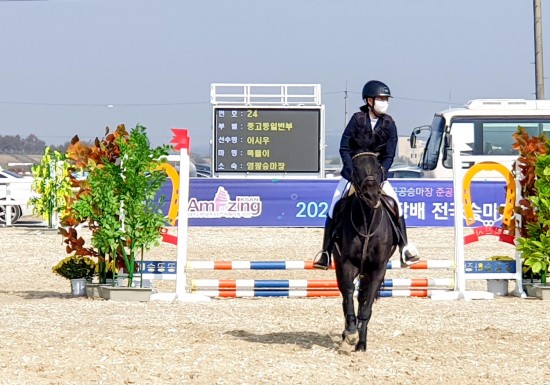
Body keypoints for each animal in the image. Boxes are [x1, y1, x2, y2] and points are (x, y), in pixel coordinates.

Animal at [330, 150, 398, 352]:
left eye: (378, 166)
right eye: (355, 169)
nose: (371, 196)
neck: (367, 221)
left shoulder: (377, 268)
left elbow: (367, 302)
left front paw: (361, 341)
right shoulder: (347, 264)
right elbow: (348, 293)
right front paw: (351, 331)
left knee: (362, 297)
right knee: (347, 295)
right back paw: (347, 331)